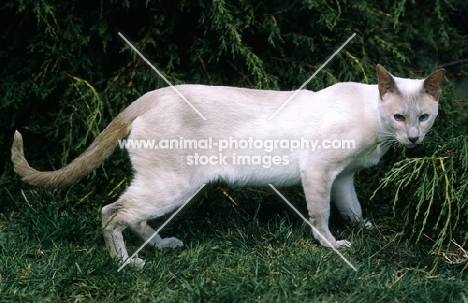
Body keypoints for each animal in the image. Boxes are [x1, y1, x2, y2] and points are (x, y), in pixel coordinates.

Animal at [10, 64, 442, 268]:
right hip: (173, 185)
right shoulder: (319, 170)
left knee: (132, 215)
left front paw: (366, 231)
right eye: (399, 117)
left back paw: (163, 245)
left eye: (424, 118)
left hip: (172, 186)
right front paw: (334, 247)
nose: (413, 139)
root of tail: (151, 96)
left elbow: (352, 209)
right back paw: (129, 264)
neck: (379, 130)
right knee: (111, 211)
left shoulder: (344, 176)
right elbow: (321, 217)